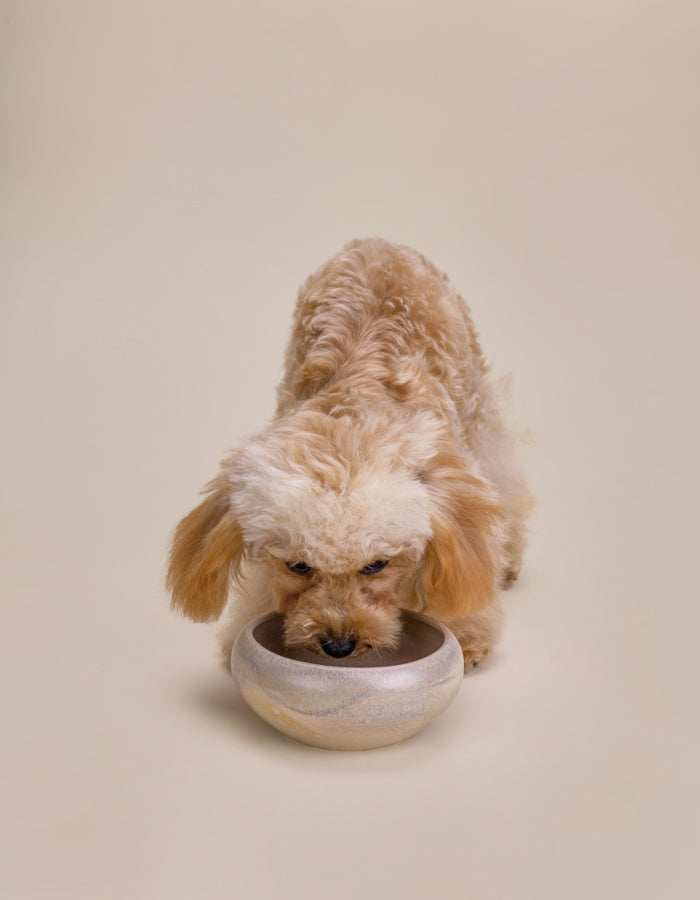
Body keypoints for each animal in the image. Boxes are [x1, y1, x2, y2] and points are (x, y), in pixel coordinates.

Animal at [167, 237, 532, 668]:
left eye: (376, 565)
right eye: (298, 565)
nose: (339, 646)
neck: (353, 414)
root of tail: (379, 243)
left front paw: (466, 635)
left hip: (477, 405)